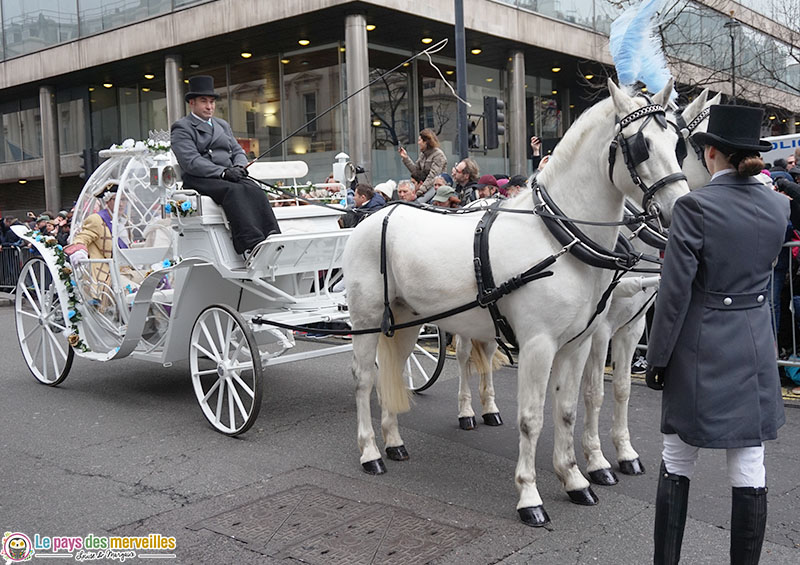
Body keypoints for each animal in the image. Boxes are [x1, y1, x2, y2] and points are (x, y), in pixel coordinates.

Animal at [344, 79, 688, 524]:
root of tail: (374, 215)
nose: (681, 207)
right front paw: (529, 496)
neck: (559, 237)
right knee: (364, 379)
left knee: (392, 371)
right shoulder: (539, 345)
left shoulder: (579, 343)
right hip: (366, 319)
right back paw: (370, 452)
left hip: (406, 321)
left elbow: (568, 409)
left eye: (679, 143)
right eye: (640, 145)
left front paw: (575, 478)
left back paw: (393, 442)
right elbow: (531, 418)